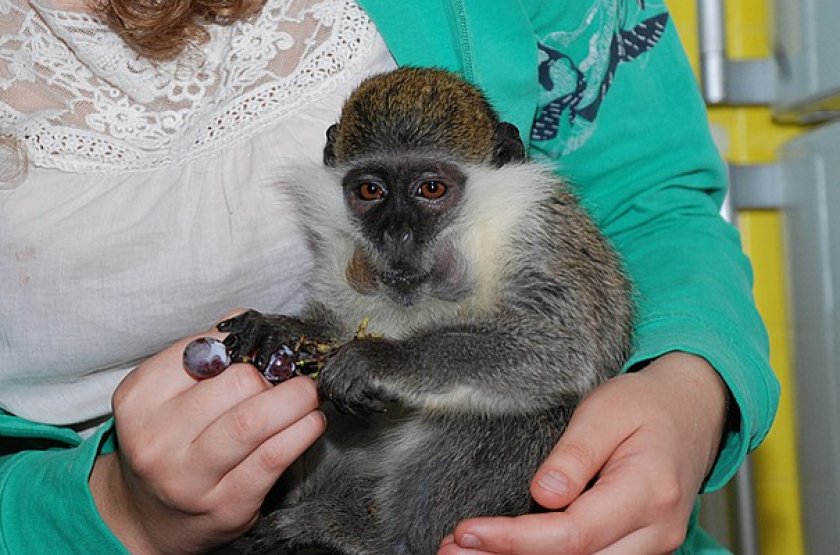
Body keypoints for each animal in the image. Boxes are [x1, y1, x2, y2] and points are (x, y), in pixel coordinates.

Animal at [223, 66, 632, 555]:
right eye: (371, 190)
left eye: (431, 188)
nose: (396, 233)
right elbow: (332, 323)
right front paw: (282, 329)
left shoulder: (536, 234)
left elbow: (561, 347)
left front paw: (381, 360)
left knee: (514, 412)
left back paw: (375, 537)